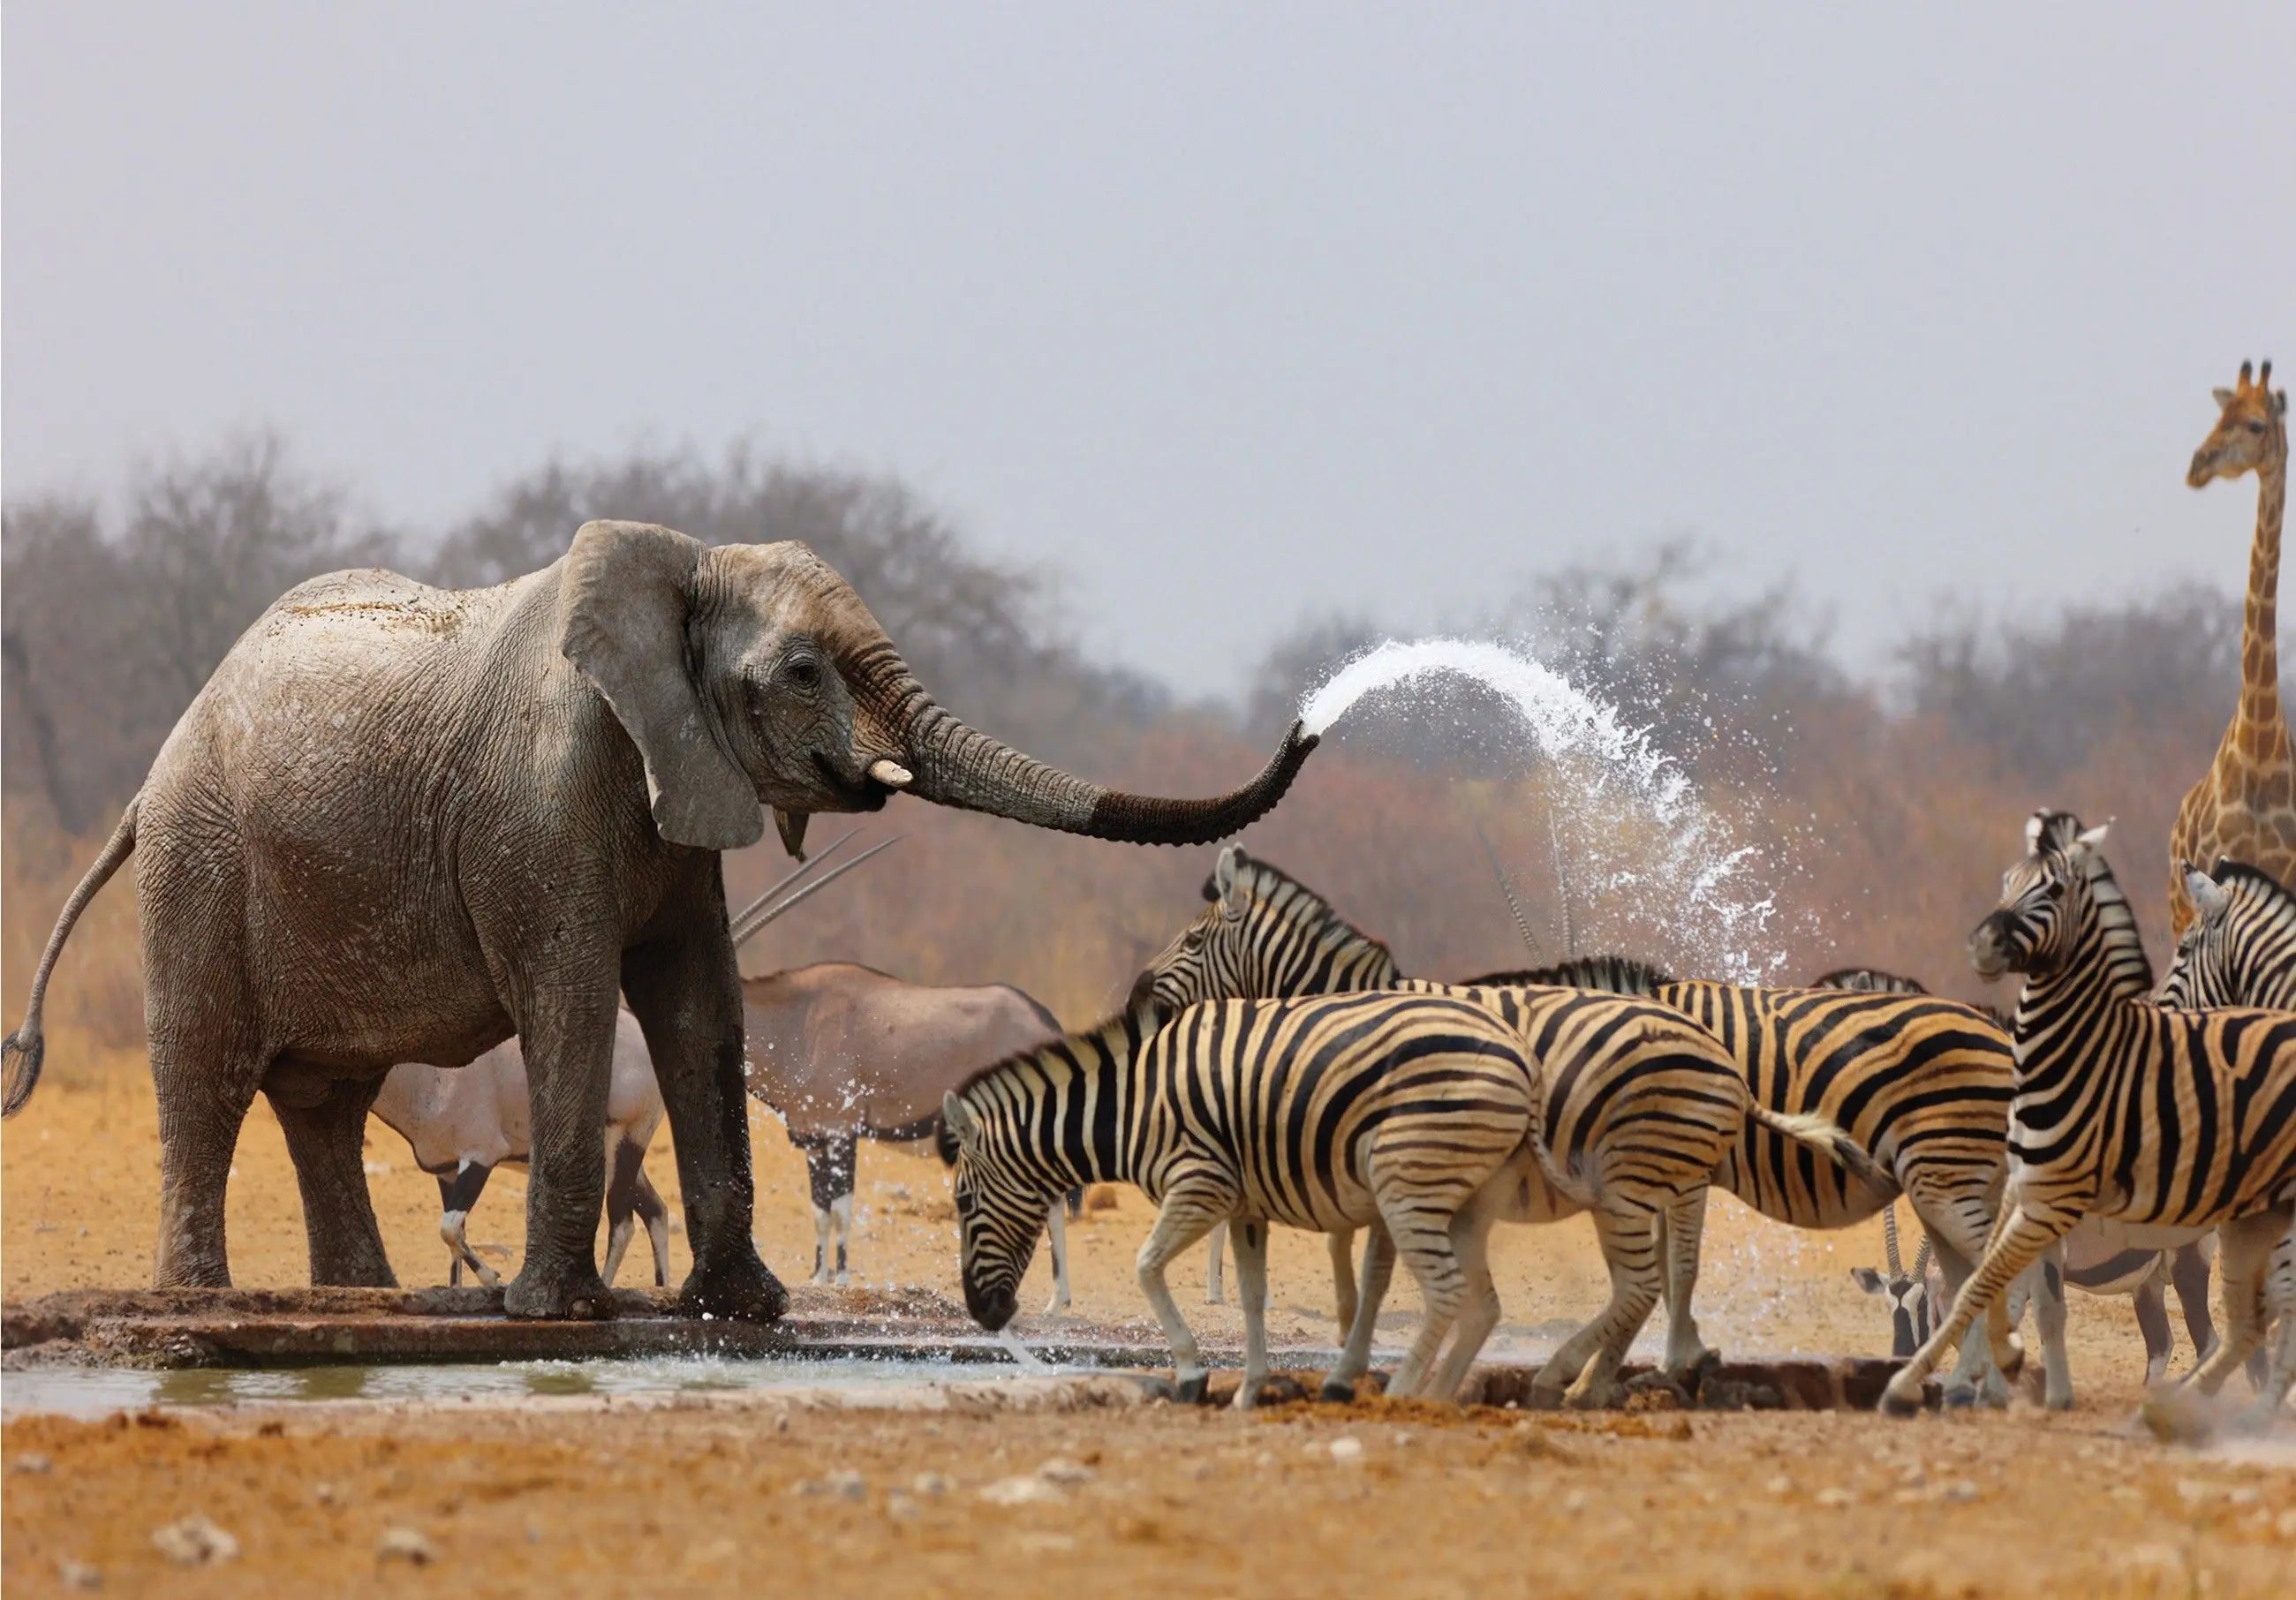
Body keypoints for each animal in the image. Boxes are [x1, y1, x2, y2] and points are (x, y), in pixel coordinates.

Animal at [0, 518, 1322, 1313]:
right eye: (804, 672)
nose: (1312, 722)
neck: (682, 564)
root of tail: (153, 775)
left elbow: (699, 1004)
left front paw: (748, 1309)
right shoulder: (541, 800)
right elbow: (576, 999)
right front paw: (556, 1315)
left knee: (323, 1099)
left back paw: (364, 1303)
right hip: (201, 862)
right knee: (209, 1071)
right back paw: (202, 1305)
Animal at [932, 992, 1543, 1405]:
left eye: (964, 1203)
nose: (983, 1314)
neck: (1132, 1106)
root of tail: (1521, 1053)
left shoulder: (1202, 1184)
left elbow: (1146, 1266)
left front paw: (1191, 1374)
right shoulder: (1247, 1206)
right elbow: (1250, 1298)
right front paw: (1250, 1391)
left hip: (1406, 1181)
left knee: (1446, 1292)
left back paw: (1402, 1397)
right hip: (1461, 1196)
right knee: (1478, 1302)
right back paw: (1432, 1395)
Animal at [1809, 959, 2222, 1386]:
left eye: (1922, 1304)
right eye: (1889, 1303)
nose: (1901, 1356)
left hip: (2188, 1260)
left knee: (2209, 1343)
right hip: (2148, 1280)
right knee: (2162, 1346)